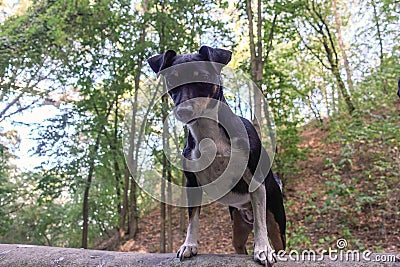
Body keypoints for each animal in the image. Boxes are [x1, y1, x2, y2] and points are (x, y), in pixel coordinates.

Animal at [148, 46, 286, 267]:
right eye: (171, 80)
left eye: (204, 77)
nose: (183, 111)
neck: (209, 133)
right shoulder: (192, 183)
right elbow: (193, 218)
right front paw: (189, 245)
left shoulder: (255, 182)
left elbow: (260, 225)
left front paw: (263, 249)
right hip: (238, 227)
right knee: (240, 248)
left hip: (276, 220)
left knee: (273, 234)